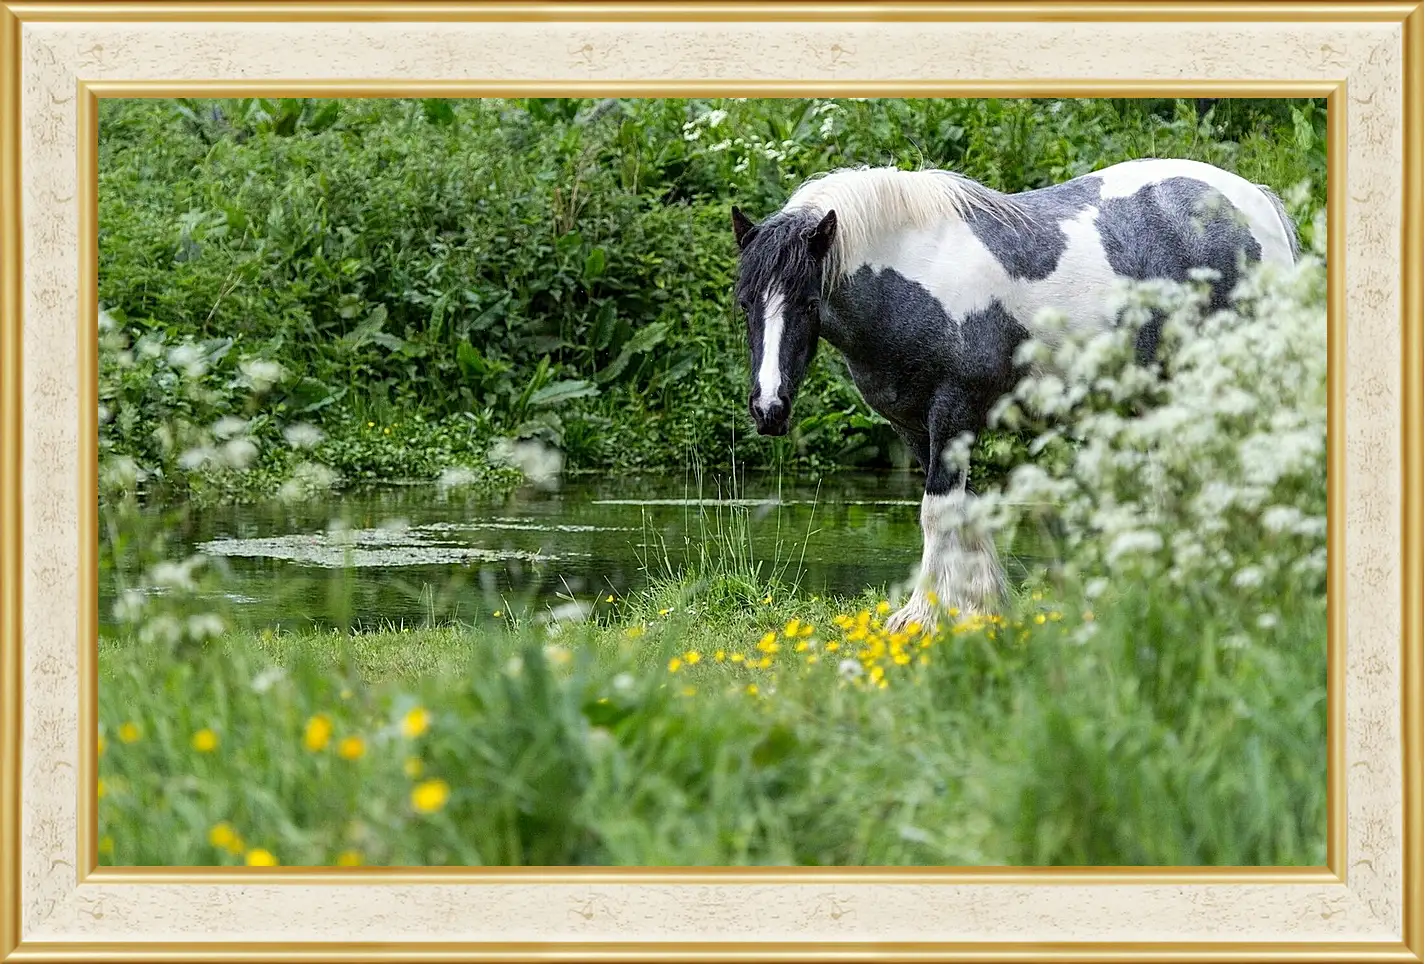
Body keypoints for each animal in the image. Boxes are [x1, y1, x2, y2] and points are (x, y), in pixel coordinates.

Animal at [735, 158, 1305, 633]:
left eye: (809, 303)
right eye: (745, 303)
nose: (769, 409)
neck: (914, 272)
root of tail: (1255, 203)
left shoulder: (954, 413)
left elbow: (936, 512)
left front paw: (922, 616)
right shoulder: (916, 427)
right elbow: (965, 511)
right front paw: (980, 608)